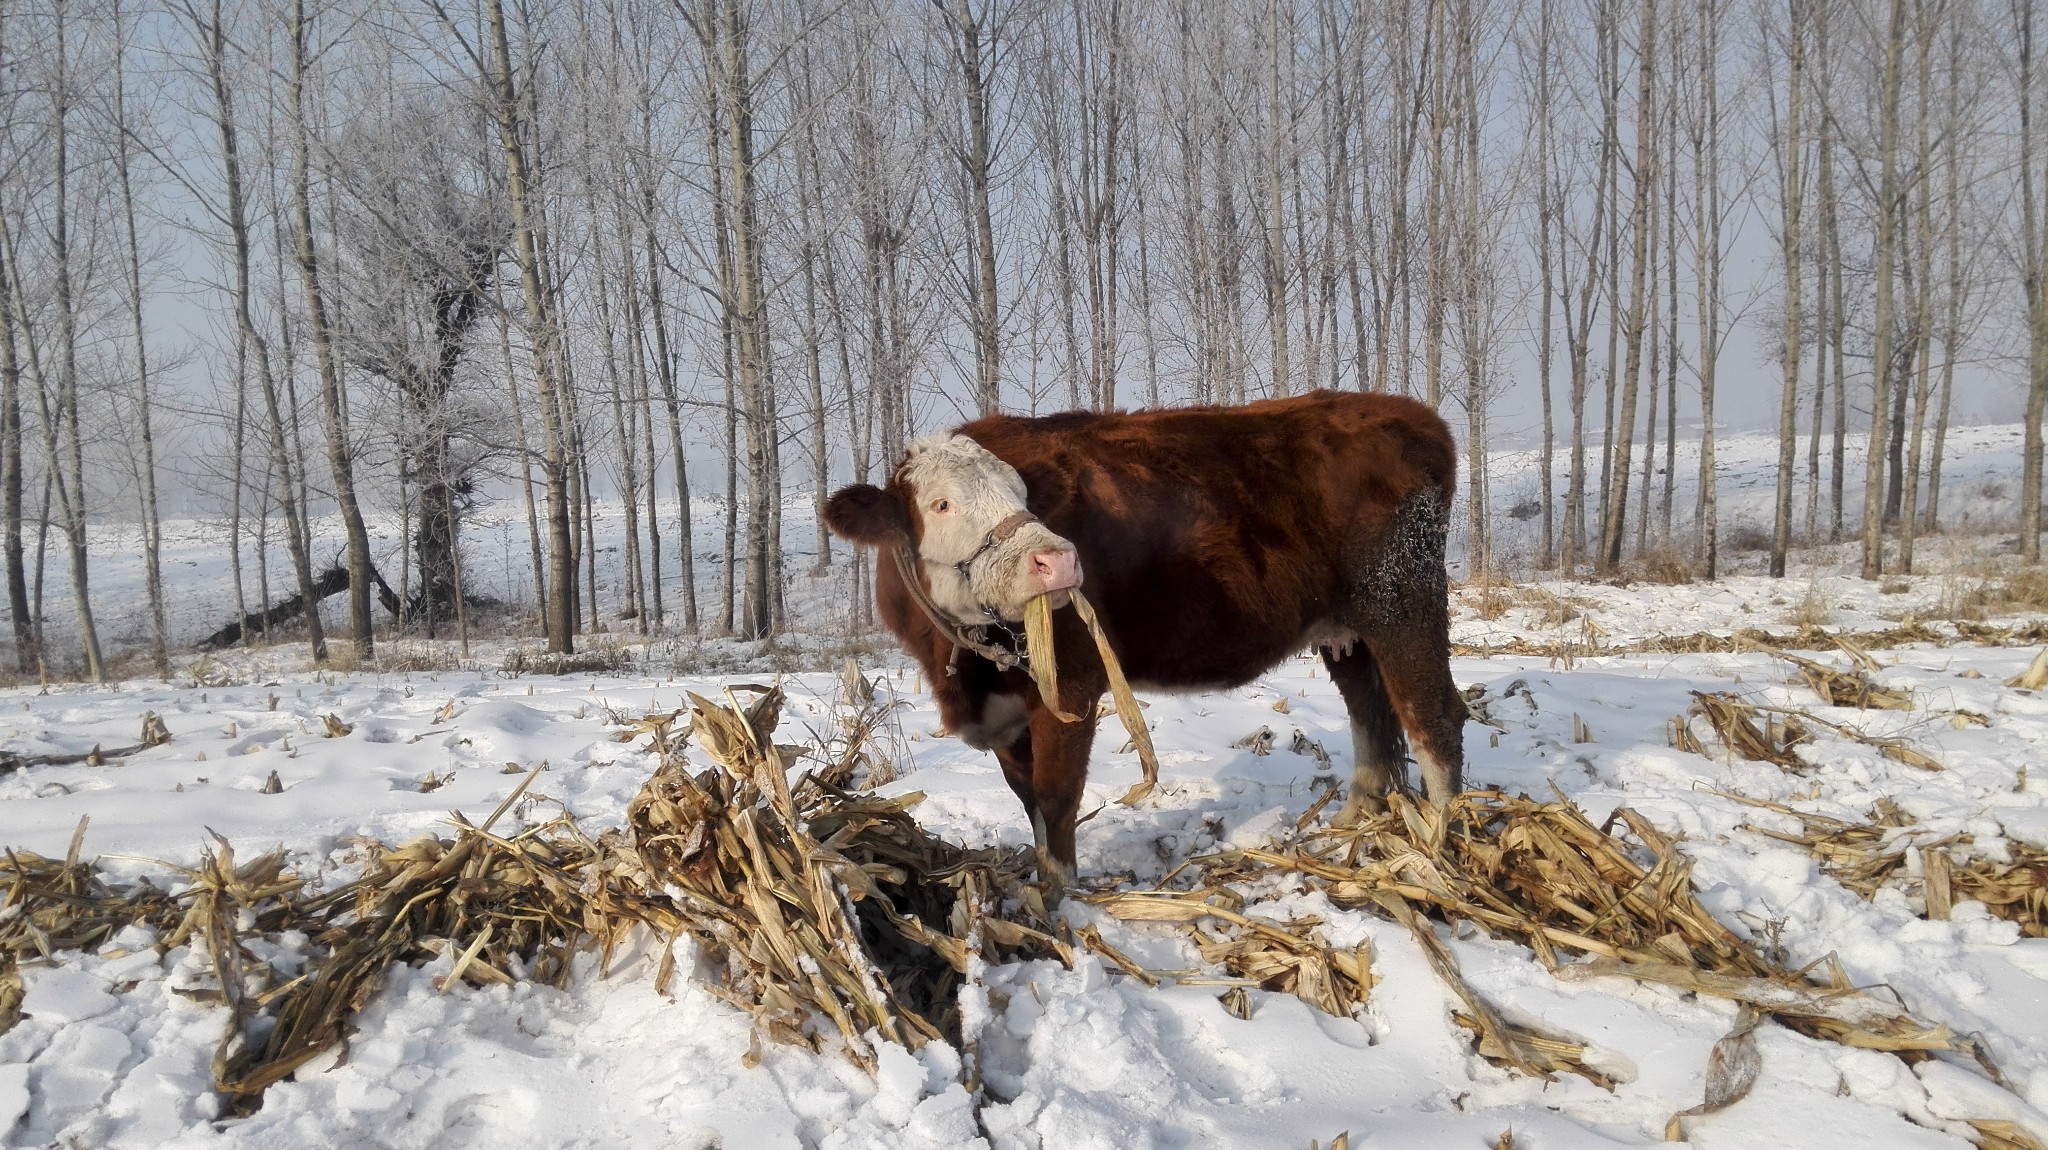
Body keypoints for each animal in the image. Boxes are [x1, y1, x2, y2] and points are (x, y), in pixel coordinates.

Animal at [823, 388, 1466, 879]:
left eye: (1021, 493)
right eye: (941, 503)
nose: (1059, 561)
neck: (966, 665)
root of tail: (1411, 413)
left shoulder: (1073, 686)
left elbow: (1056, 799)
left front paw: (1060, 901)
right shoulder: (1005, 716)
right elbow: (1028, 800)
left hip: (1401, 599)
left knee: (1433, 716)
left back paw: (1442, 849)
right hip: (1347, 630)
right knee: (1372, 717)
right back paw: (1350, 828)